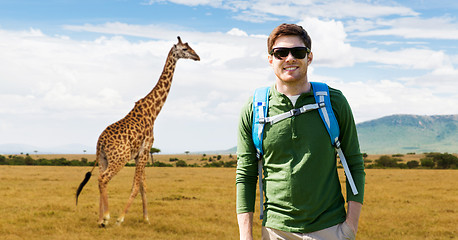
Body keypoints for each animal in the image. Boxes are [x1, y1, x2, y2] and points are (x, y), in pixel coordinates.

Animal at [76, 36, 199, 227]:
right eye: (185, 49)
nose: (197, 56)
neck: (154, 111)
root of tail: (100, 142)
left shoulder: (140, 153)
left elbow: (143, 185)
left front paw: (146, 218)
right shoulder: (145, 149)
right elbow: (135, 186)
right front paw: (121, 218)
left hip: (103, 159)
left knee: (99, 179)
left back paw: (100, 219)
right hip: (119, 159)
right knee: (103, 179)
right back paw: (107, 217)